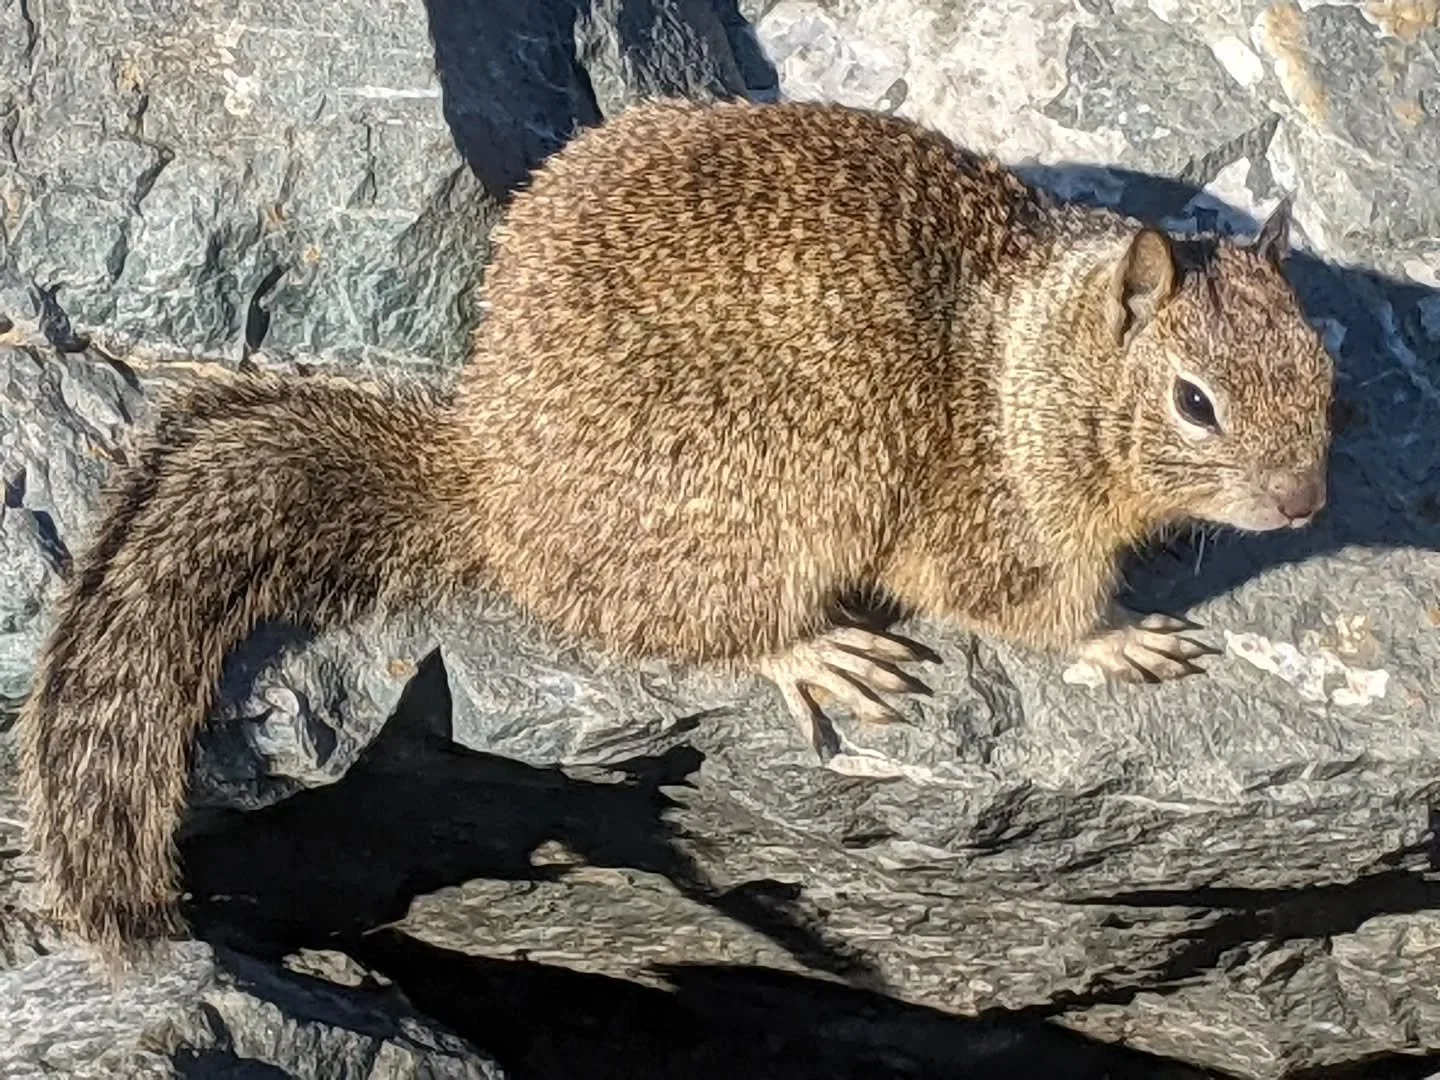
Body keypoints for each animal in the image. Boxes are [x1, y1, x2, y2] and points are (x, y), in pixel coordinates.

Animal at [18, 97, 1334, 969]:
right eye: (1196, 403)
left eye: (1326, 369)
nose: (1305, 505)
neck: (1034, 364)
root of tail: (490, 484)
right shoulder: (990, 520)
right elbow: (1025, 605)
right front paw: (1124, 636)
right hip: (791, 485)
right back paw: (819, 651)